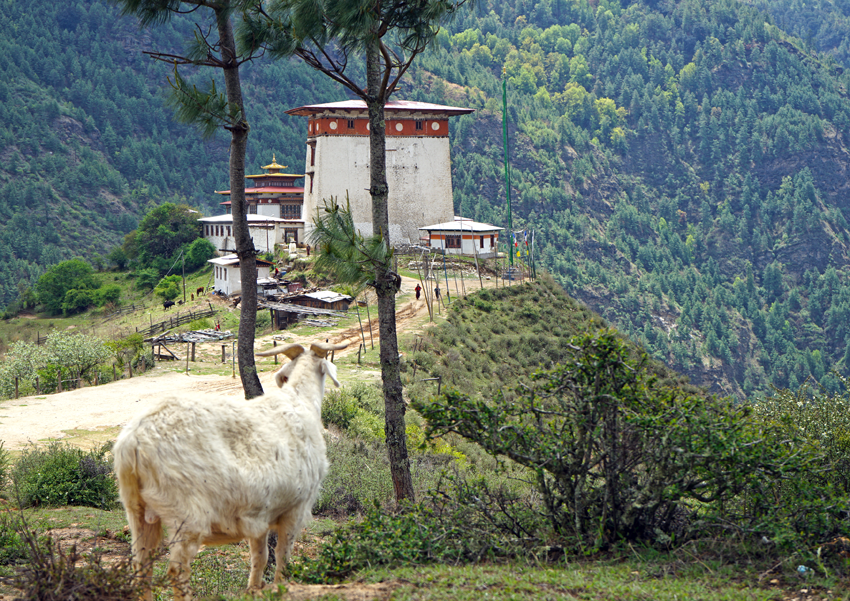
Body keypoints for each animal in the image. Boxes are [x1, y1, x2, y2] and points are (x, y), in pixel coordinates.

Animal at [114, 340, 346, 596]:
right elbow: (283, 560)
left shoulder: (259, 516)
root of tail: (133, 440)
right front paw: (280, 589)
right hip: (185, 514)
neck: (300, 402)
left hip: (137, 509)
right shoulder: (295, 509)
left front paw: (253, 590)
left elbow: (261, 557)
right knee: (176, 571)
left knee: (141, 567)